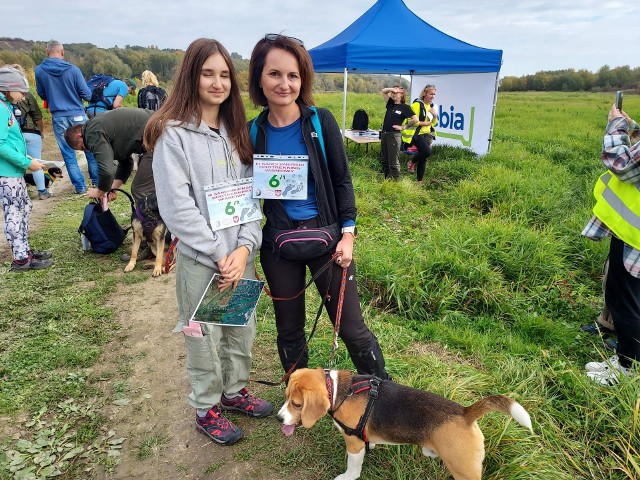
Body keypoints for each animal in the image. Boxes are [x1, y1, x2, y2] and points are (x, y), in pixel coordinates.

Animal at [278, 368, 532, 480]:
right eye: (286, 397)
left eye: (297, 404)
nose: (280, 418)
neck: (340, 390)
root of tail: (466, 413)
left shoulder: (354, 444)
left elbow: (353, 467)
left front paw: (347, 477)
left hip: (464, 471)